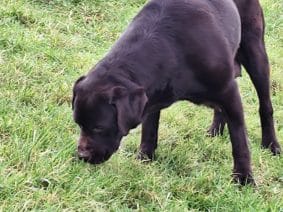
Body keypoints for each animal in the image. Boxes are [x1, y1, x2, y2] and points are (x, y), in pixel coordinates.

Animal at [71, 0, 282, 185]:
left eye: (99, 127)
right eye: (79, 124)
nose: (82, 156)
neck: (172, 50)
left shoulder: (228, 91)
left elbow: (239, 143)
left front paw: (244, 179)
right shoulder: (150, 96)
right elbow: (149, 130)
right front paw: (144, 159)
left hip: (255, 53)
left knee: (265, 106)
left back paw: (271, 144)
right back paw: (215, 130)